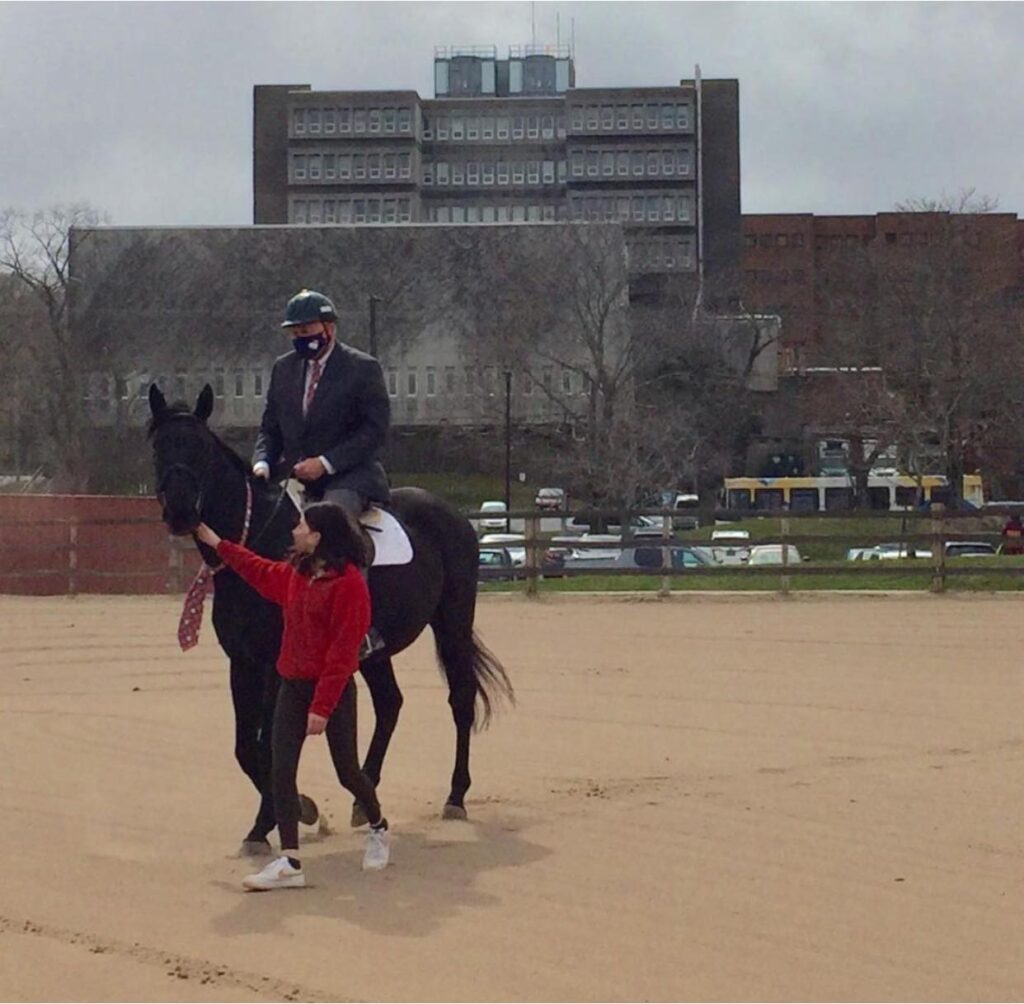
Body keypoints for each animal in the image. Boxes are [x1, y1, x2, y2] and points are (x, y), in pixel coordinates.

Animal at [147, 383, 513, 850]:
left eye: (199, 448)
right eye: (159, 447)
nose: (179, 512)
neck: (259, 542)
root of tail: (456, 517)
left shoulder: (275, 664)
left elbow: (266, 744)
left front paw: (287, 814)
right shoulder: (242, 663)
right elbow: (246, 747)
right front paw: (286, 816)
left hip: (453, 624)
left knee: (460, 699)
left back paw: (455, 797)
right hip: (375, 651)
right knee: (390, 703)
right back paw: (364, 795)